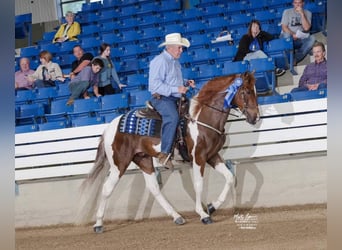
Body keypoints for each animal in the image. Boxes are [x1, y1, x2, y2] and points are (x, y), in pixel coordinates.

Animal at [76, 71, 260, 233]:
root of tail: (110, 127)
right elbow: (198, 184)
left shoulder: (212, 156)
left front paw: (212, 206)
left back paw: (177, 216)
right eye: (246, 91)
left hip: (143, 159)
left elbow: (230, 177)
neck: (201, 118)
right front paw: (203, 214)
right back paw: (98, 224)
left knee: (153, 188)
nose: (256, 117)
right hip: (119, 163)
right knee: (107, 188)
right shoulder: (199, 158)